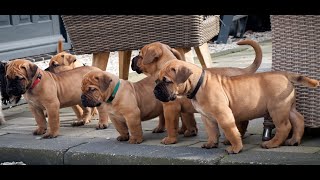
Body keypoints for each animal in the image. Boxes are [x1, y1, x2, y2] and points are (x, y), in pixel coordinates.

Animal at [131, 39, 262, 145]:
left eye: (140, 55)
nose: (133, 59)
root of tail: (242, 70)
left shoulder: (170, 108)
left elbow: (170, 124)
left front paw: (170, 139)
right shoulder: (183, 108)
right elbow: (188, 119)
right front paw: (189, 131)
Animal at [154, 59, 318, 153]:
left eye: (167, 81)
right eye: (156, 80)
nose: (155, 91)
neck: (198, 84)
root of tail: (283, 74)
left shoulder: (223, 115)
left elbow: (231, 132)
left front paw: (236, 148)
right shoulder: (207, 117)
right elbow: (212, 131)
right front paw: (211, 143)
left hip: (277, 109)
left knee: (285, 126)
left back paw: (272, 144)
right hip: (288, 107)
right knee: (298, 119)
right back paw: (294, 140)